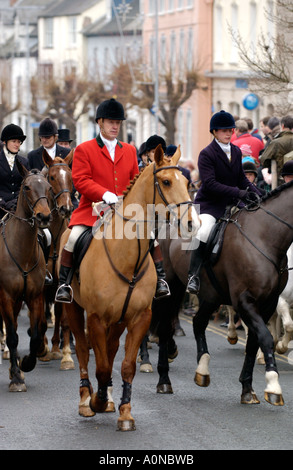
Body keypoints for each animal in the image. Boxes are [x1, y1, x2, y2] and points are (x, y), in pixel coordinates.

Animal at [59, 146, 201, 430]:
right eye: (166, 182)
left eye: (186, 182)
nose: (192, 224)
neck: (126, 257)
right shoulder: (95, 317)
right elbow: (102, 366)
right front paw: (97, 400)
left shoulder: (139, 317)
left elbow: (125, 365)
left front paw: (124, 411)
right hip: (75, 309)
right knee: (83, 351)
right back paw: (86, 400)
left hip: (119, 320)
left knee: (111, 349)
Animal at [152, 184, 293, 408]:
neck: (265, 237)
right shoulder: (245, 301)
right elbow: (265, 338)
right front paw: (273, 386)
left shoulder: (268, 304)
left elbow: (254, 343)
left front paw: (248, 389)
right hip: (173, 288)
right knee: (166, 328)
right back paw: (164, 380)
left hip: (211, 296)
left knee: (198, 322)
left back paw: (202, 369)